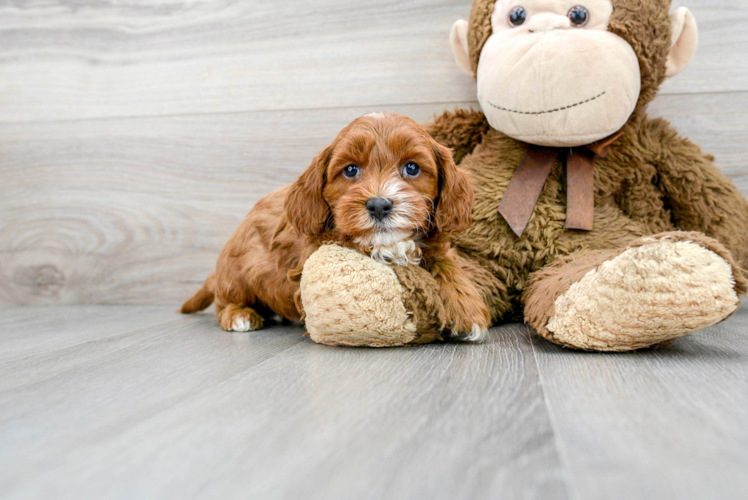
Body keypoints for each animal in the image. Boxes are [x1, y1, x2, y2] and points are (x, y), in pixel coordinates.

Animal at [181, 112, 490, 340]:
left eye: (412, 168)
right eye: (351, 170)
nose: (379, 205)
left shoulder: (436, 245)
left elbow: (447, 265)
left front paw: (468, 311)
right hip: (238, 275)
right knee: (225, 302)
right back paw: (239, 315)